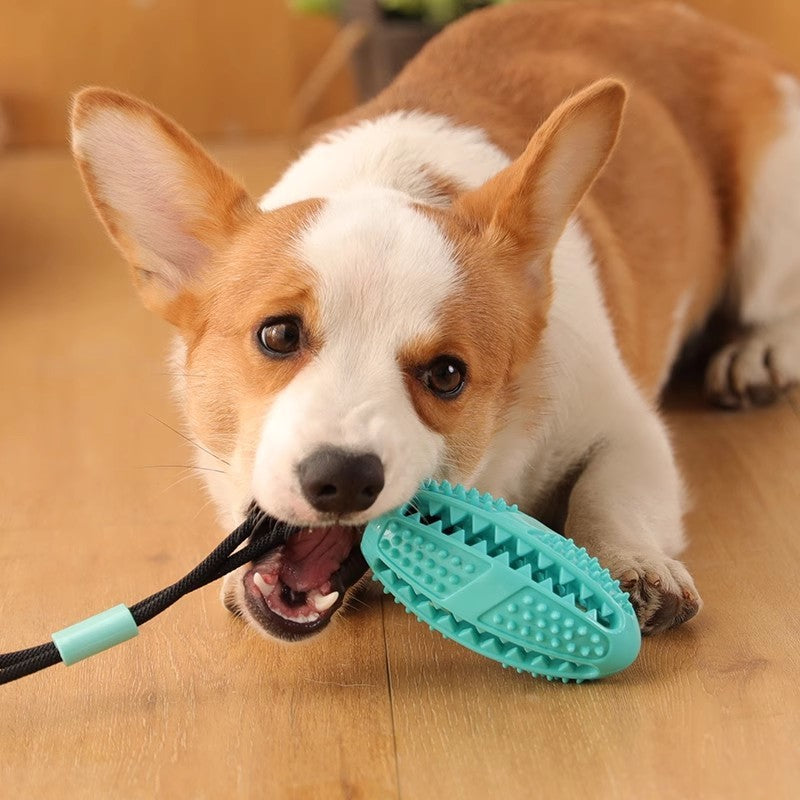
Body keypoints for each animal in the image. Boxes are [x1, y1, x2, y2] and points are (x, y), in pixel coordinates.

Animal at [70, 0, 800, 636]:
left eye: (448, 375)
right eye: (276, 334)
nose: (343, 477)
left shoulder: (630, 431)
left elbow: (608, 492)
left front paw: (632, 563)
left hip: (770, 216)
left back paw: (759, 352)